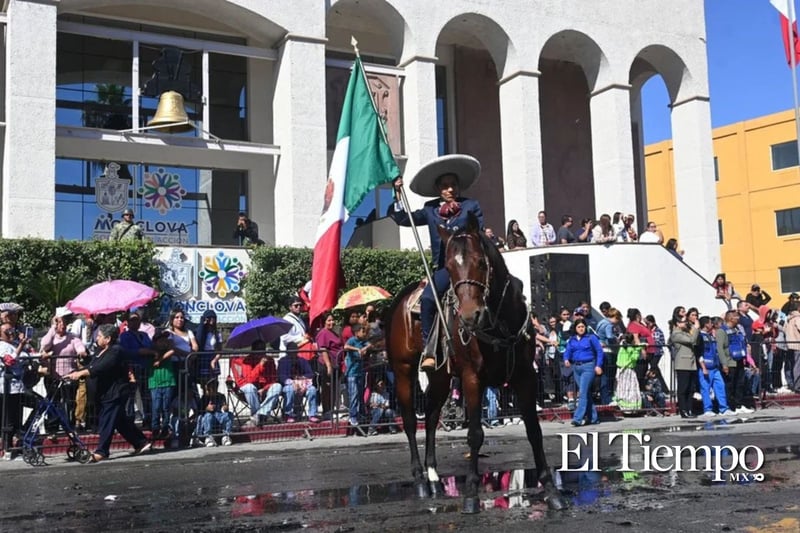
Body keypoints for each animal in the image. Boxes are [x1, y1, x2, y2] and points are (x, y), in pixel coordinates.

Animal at [384, 212, 564, 512]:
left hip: (441, 377)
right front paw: (470, 494)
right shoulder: (471, 378)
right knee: (410, 420)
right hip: (404, 370)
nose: (470, 317)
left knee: (431, 417)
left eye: (480, 262)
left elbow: (534, 430)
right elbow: (475, 434)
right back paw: (419, 478)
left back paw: (433, 476)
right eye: (449, 267)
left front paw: (551, 490)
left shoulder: (525, 376)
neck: (500, 323)